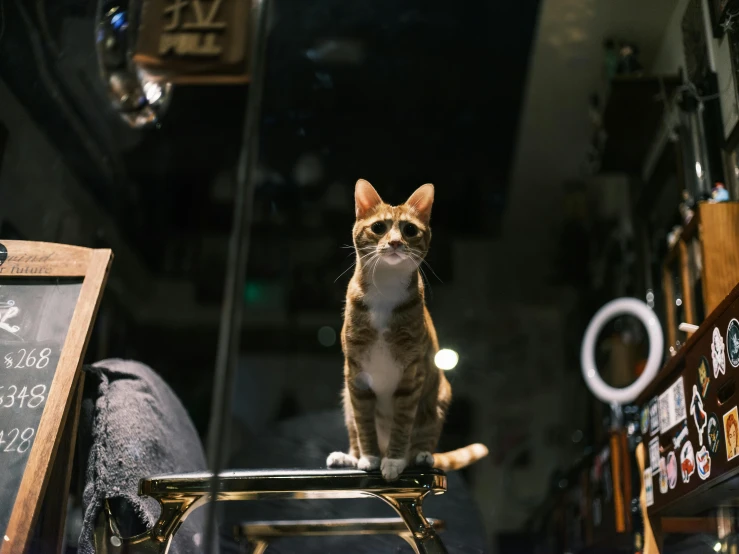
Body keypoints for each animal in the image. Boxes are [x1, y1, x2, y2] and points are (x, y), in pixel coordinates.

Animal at [326, 178, 488, 478]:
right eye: (379, 227)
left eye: (409, 230)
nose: (394, 242)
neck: (386, 290)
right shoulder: (356, 377)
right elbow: (364, 424)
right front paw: (369, 457)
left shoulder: (412, 374)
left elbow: (402, 425)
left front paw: (393, 460)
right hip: (346, 399)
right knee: (355, 431)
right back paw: (350, 457)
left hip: (438, 398)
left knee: (423, 439)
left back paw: (421, 456)